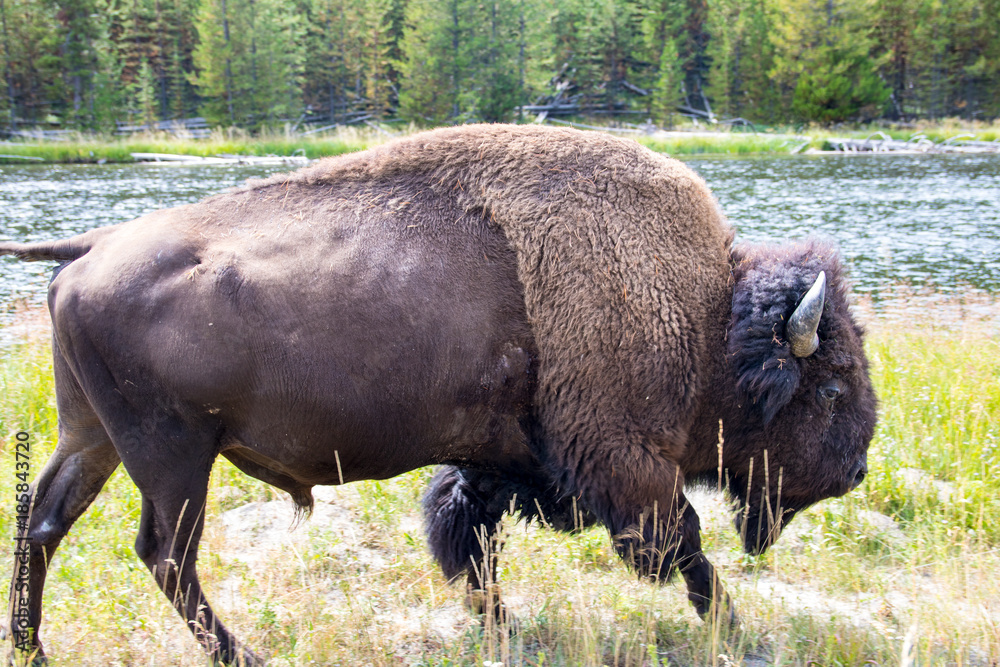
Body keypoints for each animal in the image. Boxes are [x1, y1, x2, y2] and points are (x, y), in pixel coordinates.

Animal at [0, 124, 872, 664]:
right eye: (830, 387)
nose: (858, 468)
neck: (702, 310)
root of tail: (92, 249)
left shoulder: (497, 465)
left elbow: (468, 540)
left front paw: (504, 629)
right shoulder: (628, 466)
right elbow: (684, 550)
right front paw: (736, 631)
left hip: (92, 436)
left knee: (44, 519)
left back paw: (34, 645)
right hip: (173, 454)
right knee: (164, 553)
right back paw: (244, 653)